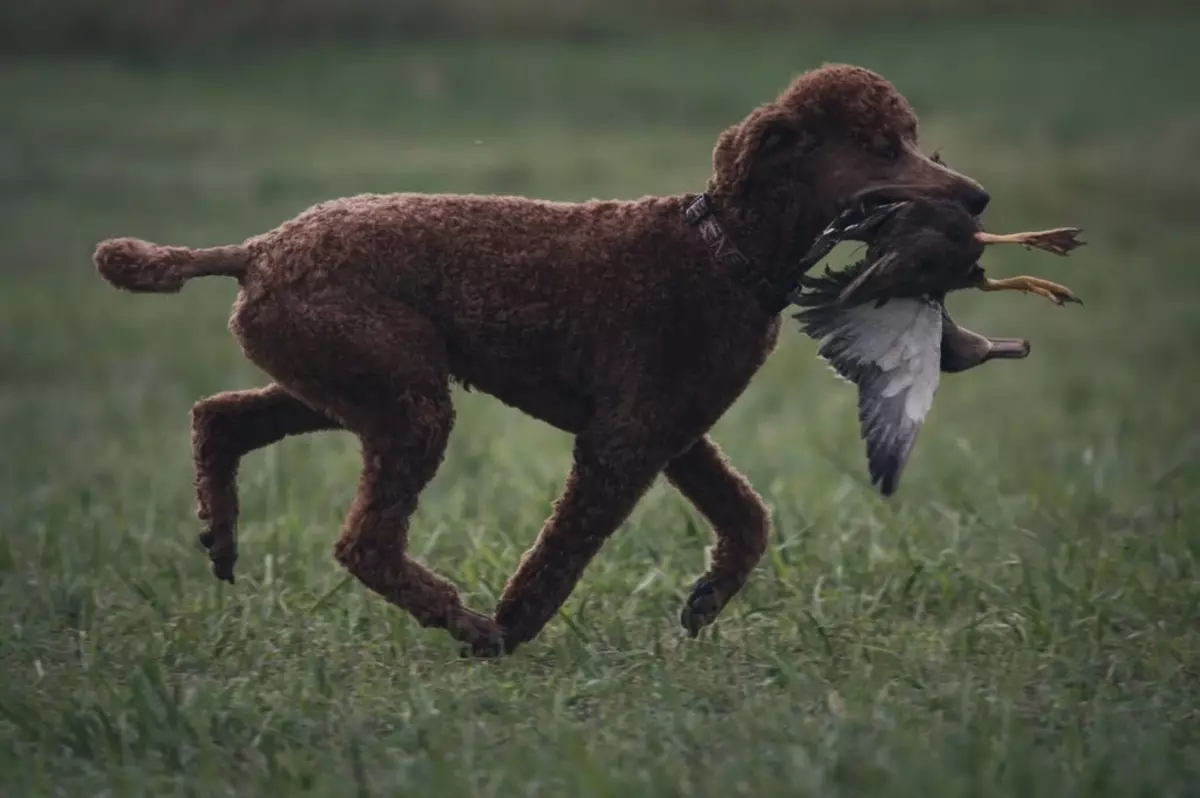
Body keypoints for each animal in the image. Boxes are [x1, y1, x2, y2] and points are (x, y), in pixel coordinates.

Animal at [93, 63, 988, 652]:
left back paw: (220, 535)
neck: (721, 250)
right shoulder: (622, 442)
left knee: (218, 418)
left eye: (911, 140)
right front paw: (513, 629)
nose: (976, 198)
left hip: (342, 379)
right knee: (364, 543)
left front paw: (707, 599)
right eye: (880, 148)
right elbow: (561, 554)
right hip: (404, 398)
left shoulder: (677, 435)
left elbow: (747, 518)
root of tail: (258, 250)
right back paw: (465, 622)